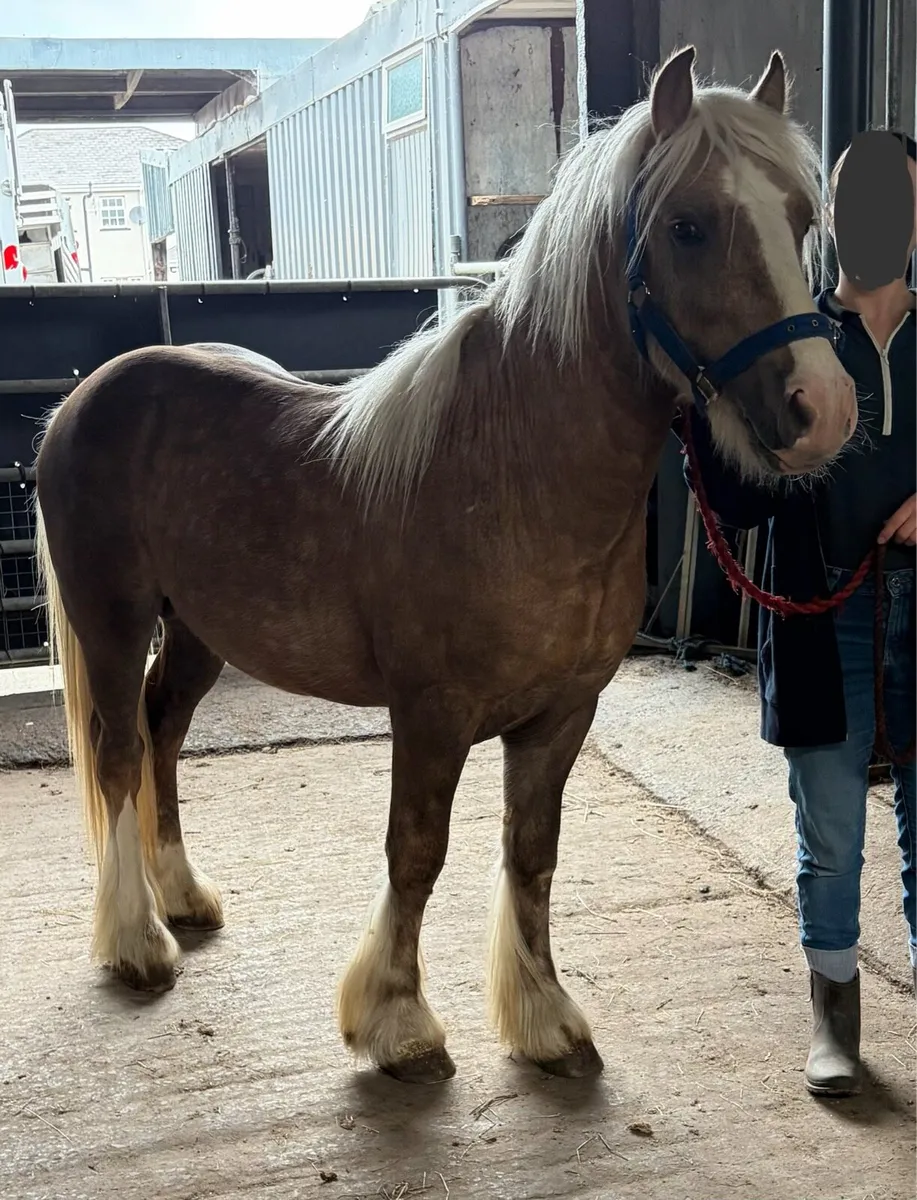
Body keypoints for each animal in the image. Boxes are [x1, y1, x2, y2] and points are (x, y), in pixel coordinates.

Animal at [34, 46, 856, 1085]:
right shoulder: (431, 715)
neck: (515, 474)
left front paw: (545, 1019)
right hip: (113, 617)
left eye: (798, 216)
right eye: (688, 226)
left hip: (195, 631)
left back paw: (181, 898)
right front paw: (397, 1024)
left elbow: (531, 853)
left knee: (163, 732)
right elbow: (415, 853)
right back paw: (138, 942)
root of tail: (85, 399)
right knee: (117, 753)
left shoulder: (560, 716)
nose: (821, 409)